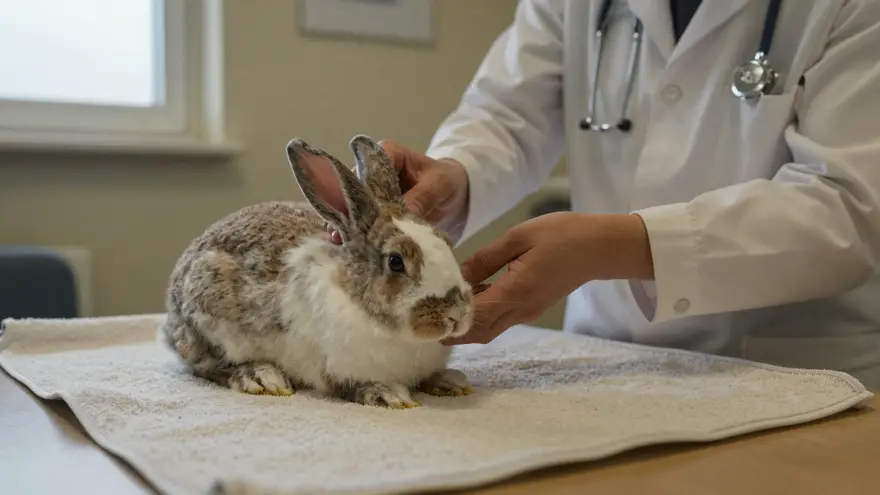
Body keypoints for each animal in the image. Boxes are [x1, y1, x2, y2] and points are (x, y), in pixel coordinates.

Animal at [159, 135, 476, 409]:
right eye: (396, 262)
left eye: (446, 241)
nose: (457, 314)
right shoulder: (335, 367)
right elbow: (353, 386)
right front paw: (388, 395)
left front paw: (450, 382)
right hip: (206, 319)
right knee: (207, 366)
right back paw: (261, 376)